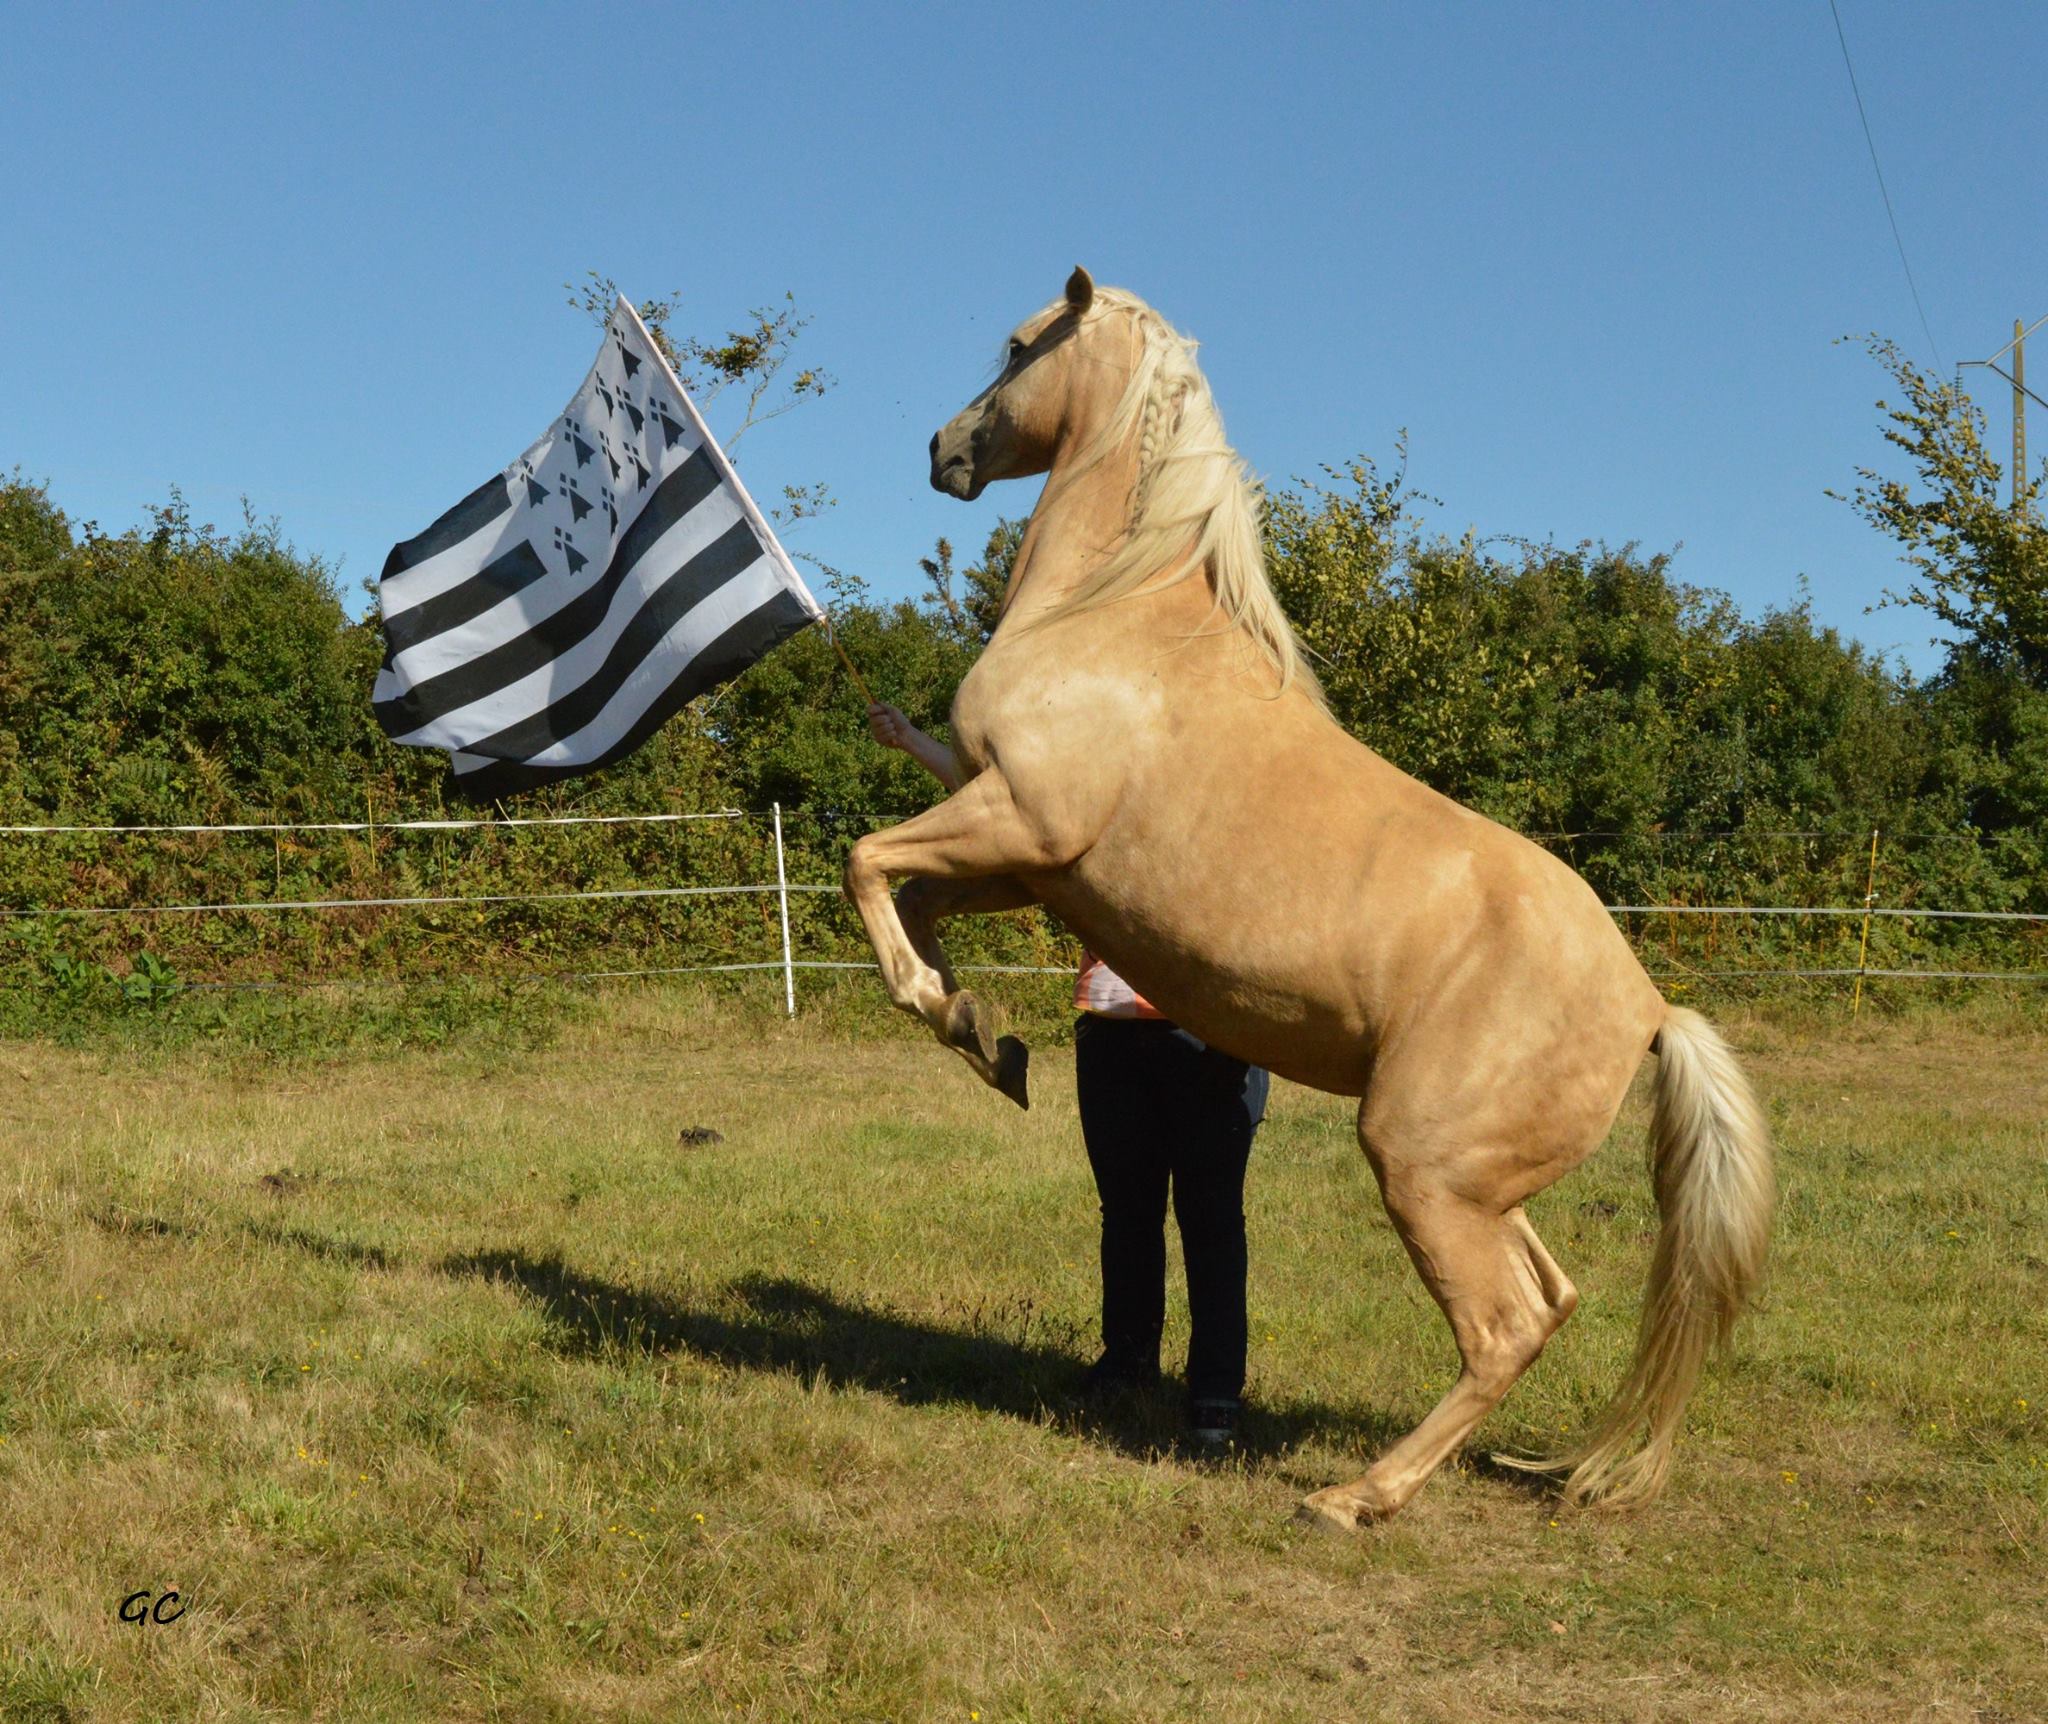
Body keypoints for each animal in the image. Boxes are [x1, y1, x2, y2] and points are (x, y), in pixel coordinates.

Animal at [839, 268, 1769, 1515]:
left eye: (1019, 343)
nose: (943, 445)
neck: (1109, 612)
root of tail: (1648, 1009)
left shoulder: (1019, 816)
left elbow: (867, 862)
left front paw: (949, 1013)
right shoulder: (1028, 860)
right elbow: (916, 903)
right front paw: (984, 1037)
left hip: (1421, 1166)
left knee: (1501, 1325)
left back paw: (1355, 1495)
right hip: (1482, 1184)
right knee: (1554, 1296)